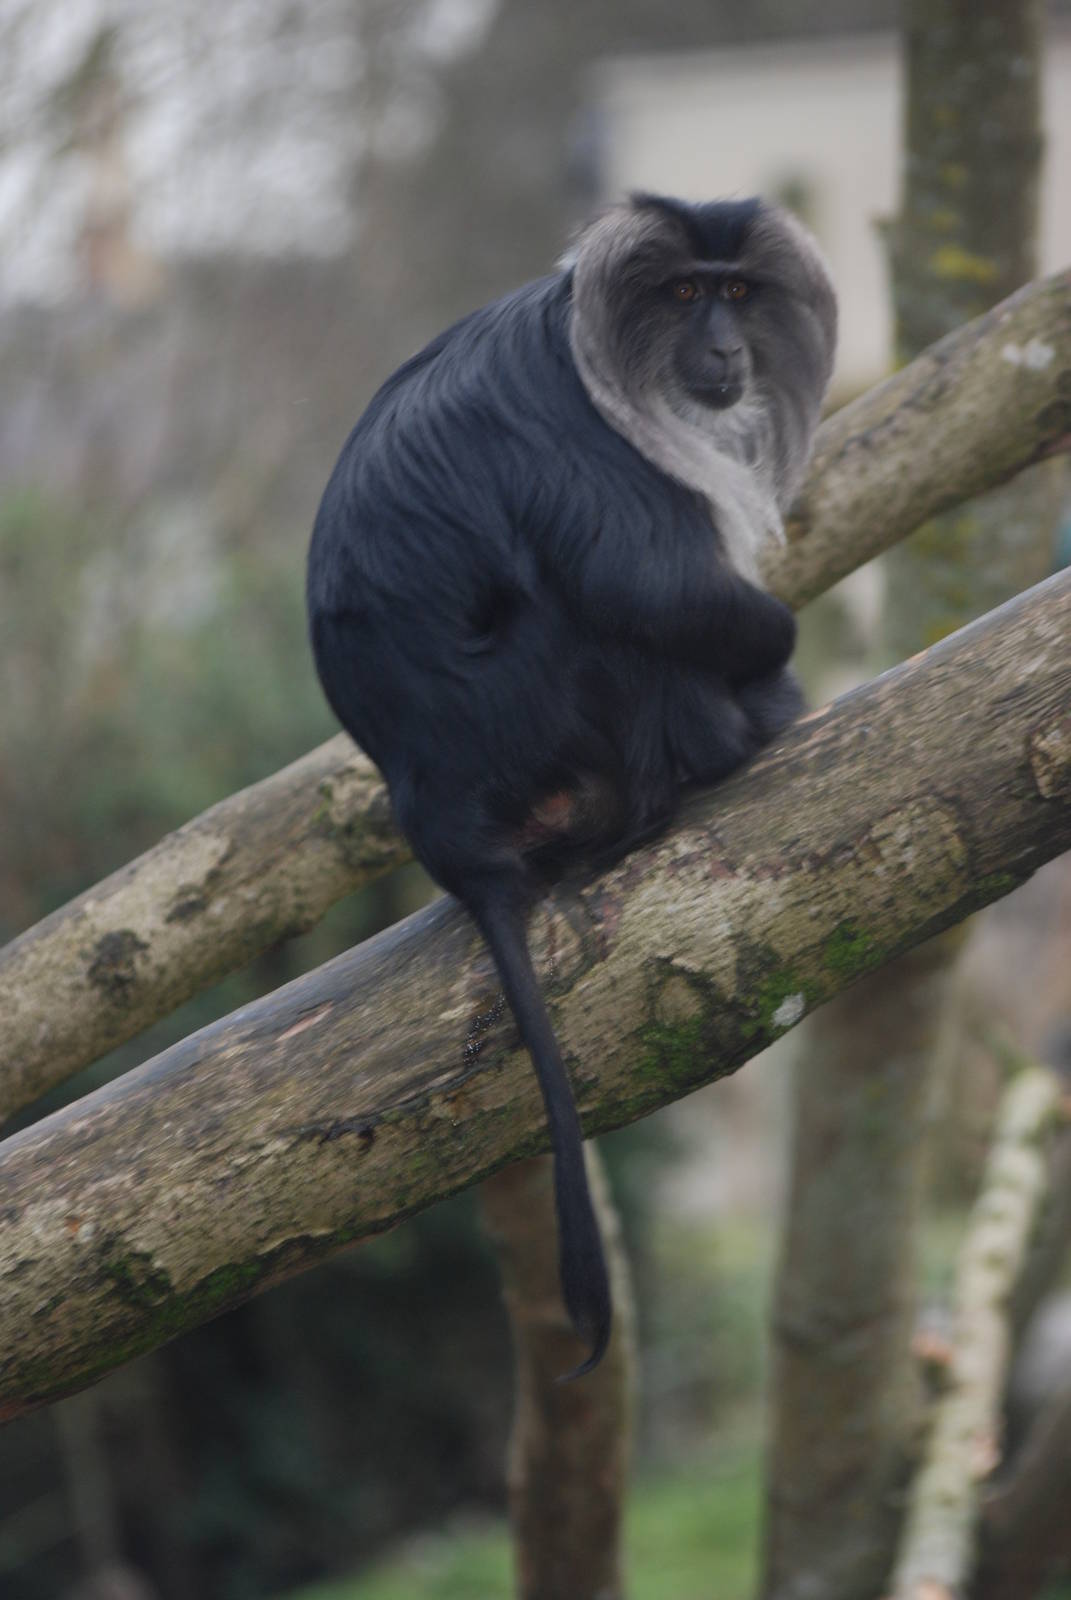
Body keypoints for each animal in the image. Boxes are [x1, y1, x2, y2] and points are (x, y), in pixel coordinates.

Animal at [306, 193, 837, 1375]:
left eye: (736, 293)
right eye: (684, 295)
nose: (724, 352)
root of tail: (448, 830)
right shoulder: (575, 429)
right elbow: (644, 585)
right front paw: (773, 658)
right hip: (566, 710)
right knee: (607, 612)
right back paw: (739, 732)